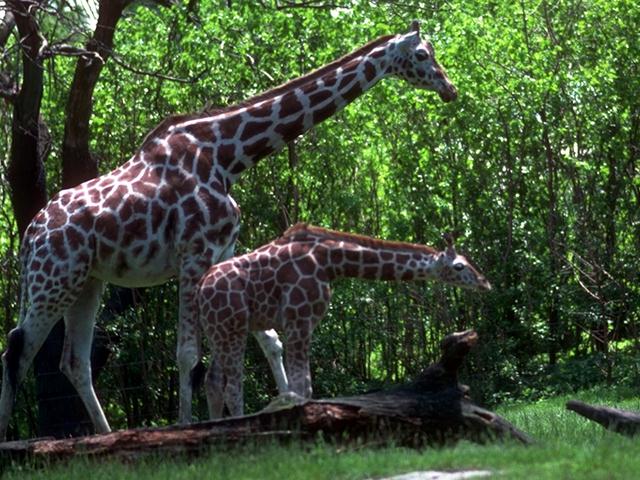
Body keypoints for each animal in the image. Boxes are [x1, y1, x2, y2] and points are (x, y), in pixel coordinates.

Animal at [0, 19, 460, 438]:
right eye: (423, 55)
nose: (450, 89)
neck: (228, 156)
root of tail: (29, 237)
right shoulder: (194, 253)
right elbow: (188, 354)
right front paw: (189, 427)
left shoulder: (223, 252)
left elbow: (267, 341)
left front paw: (270, 411)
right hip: (53, 281)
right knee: (17, 348)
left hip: (86, 282)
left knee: (73, 361)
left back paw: (107, 434)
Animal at [196, 223, 490, 418]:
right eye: (459, 266)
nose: (485, 283)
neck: (331, 262)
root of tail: (201, 288)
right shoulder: (298, 320)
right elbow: (303, 389)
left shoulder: (298, 324)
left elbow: (301, 390)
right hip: (232, 329)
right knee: (232, 386)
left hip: (219, 331)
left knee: (212, 381)